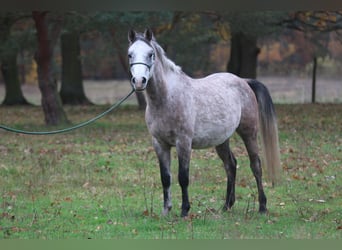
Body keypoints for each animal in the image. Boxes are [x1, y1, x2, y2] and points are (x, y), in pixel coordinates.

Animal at [126, 28, 280, 218]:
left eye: (150, 54)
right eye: (130, 54)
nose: (139, 81)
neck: (166, 98)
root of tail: (244, 81)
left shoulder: (183, 142)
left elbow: (183, 177)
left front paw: (185, 210)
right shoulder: (159, 144)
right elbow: (166, 178)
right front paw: (166, 210)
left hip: (249, 133)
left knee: (255, 166)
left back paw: (262, 206)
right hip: (222, 140)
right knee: (230, 165)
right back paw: (227, 205)